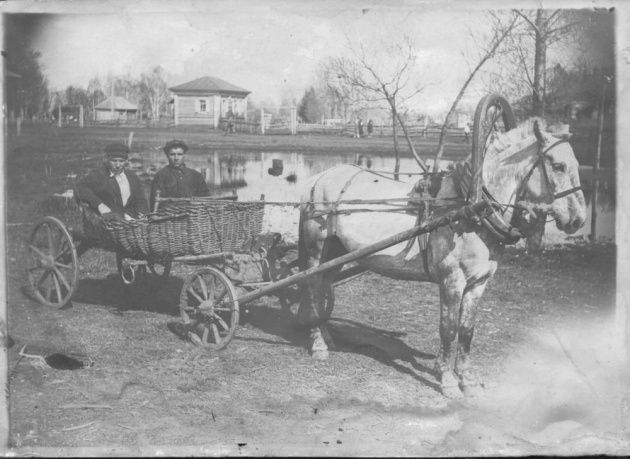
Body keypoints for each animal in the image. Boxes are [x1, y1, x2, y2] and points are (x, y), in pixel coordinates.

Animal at [298, 118, 592, 398]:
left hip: (336, 252)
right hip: (316, 248)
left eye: (577, 164)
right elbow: (448, 329)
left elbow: (467, 330)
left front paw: (467, 380)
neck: (470, 209)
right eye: (557, 165)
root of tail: (317, 180)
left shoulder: (478, 283)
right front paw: (448, 381)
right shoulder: (453, 281)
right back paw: (318, 344)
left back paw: (325, 335)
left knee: (323, 286)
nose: (578, 219)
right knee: (311, 288)